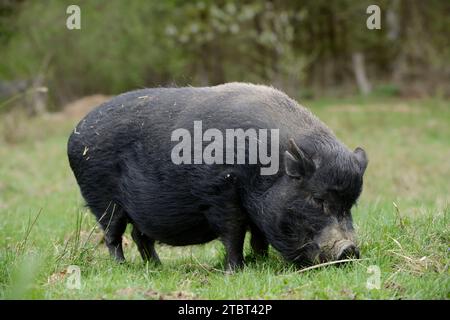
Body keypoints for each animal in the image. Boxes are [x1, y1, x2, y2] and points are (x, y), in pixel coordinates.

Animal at [68, 83, 368, 270]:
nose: (349, 250)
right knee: (113, 235)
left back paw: (157, 267)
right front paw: (237, 269)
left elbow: (258, 235)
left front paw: (261, 262)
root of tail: (75, 132)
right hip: (102, 199)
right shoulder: (221, 193)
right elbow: (234, 233)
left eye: (350, 205)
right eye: (317, 199)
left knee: (140, 236)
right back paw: (122, 267)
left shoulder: (257, 209)